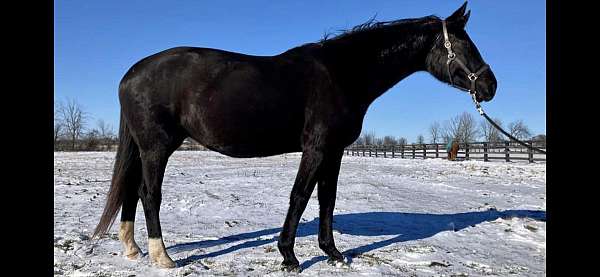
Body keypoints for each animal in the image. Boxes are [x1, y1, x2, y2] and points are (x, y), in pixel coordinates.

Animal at [94, 1, 496, 270]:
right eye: (463, 46)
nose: (490, 86)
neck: (342, 74)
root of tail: (131, 74)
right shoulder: (316, 148)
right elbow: (300, 196)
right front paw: (289, 256)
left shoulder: (334, 152)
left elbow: (326, 201)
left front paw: (333, 254)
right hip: (157, 148)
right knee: (149, 194)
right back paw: (162, 257)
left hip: (144, 148)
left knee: (130, 190)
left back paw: (132, 249)